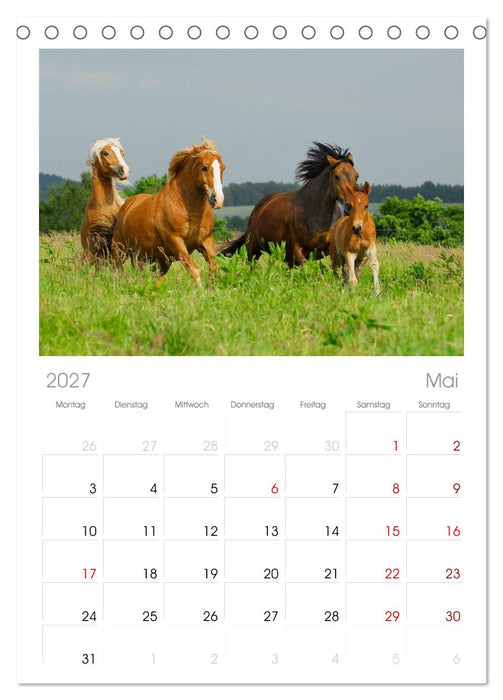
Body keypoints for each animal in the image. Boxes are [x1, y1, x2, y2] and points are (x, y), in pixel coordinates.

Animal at [112, 139, 225, 286]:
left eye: (222, 168)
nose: (218, 199)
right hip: (119, 250)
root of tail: (126, 206)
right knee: (117, 270)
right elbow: (194, 270)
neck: (188, 210)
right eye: (204, 167)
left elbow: (214, 267)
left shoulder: (206, 241)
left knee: (151, 276)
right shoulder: (176, 242)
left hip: (151, 258)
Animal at [220, 143, 359, 267]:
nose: (350, 206)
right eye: (336, 176)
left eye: (356, 176)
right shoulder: (296, 248)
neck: (318, 217)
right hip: (253, 249)